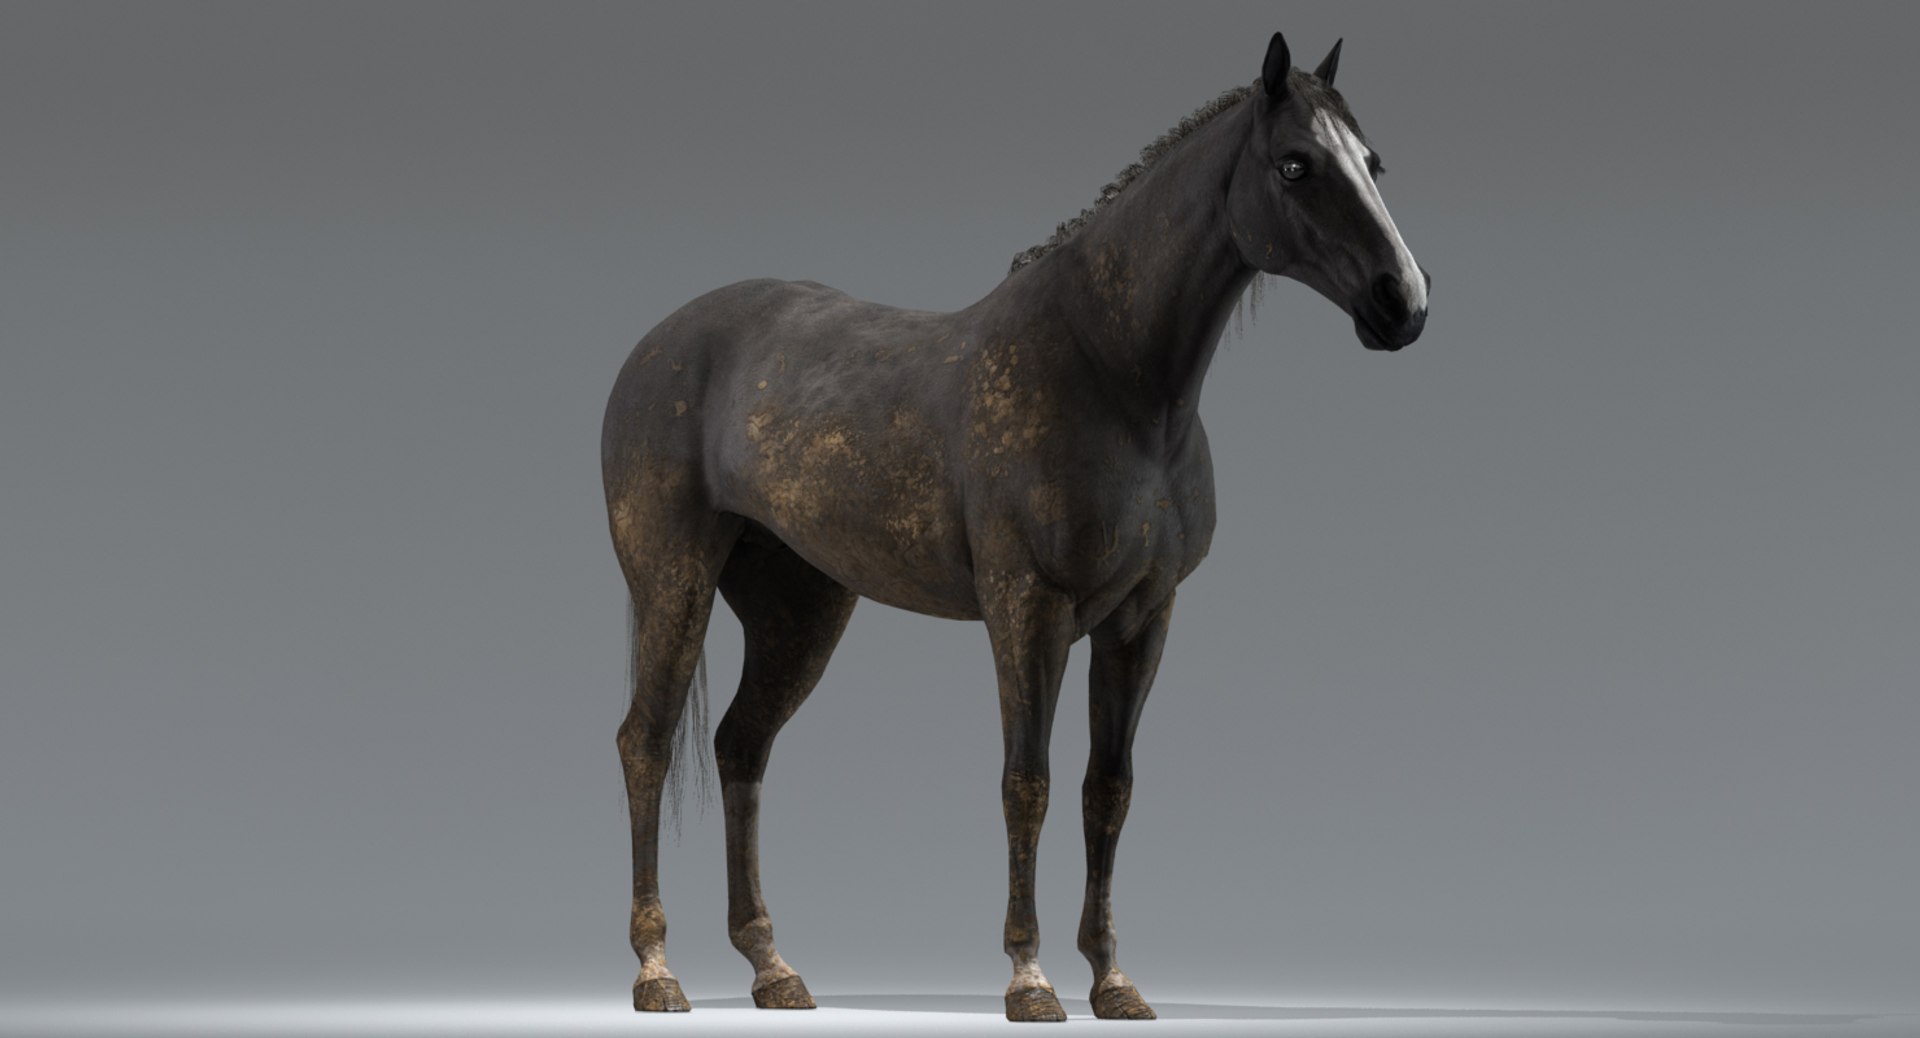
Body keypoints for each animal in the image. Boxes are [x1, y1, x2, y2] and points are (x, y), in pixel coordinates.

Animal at [601, 30, 1430, 1022]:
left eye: (1372, 163)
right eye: (1296, 164)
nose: (1403, 302)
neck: (1112, 378)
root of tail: (658, 342)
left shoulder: (1142, 618)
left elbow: (1107, 789)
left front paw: (1113, 982)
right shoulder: (1028, 610)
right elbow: (1025, 783)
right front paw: (1029, 980)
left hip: (798, 609)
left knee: (740, 746)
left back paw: (773, 968)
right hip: (673, 582)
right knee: (646, 743)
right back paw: (657, 972)